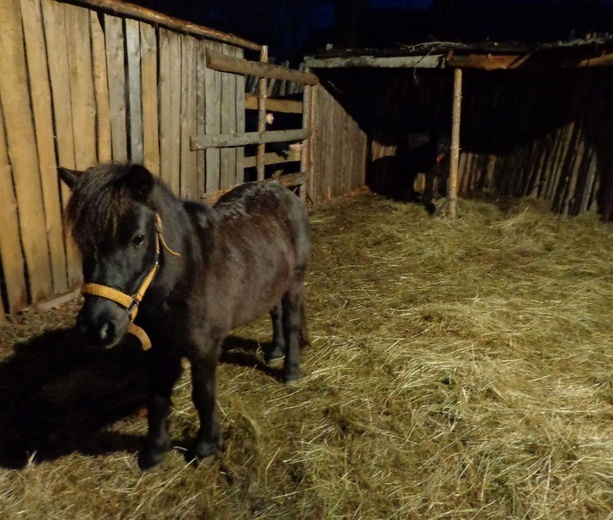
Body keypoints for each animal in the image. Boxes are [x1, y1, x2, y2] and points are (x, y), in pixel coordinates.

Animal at [59, 165, 308, 470]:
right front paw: (154, 451)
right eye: (81, 241)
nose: (96, 327)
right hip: (273, 284)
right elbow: (157, 397)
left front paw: (206, 448)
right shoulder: (158, 348)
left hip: (294, 282)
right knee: (275, 313)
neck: (186, 276)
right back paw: (274, 351)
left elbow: (203, 396)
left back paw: (290, 371)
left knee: (291, 322)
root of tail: (282, 190)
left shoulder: (204, 349)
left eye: (138, 238)